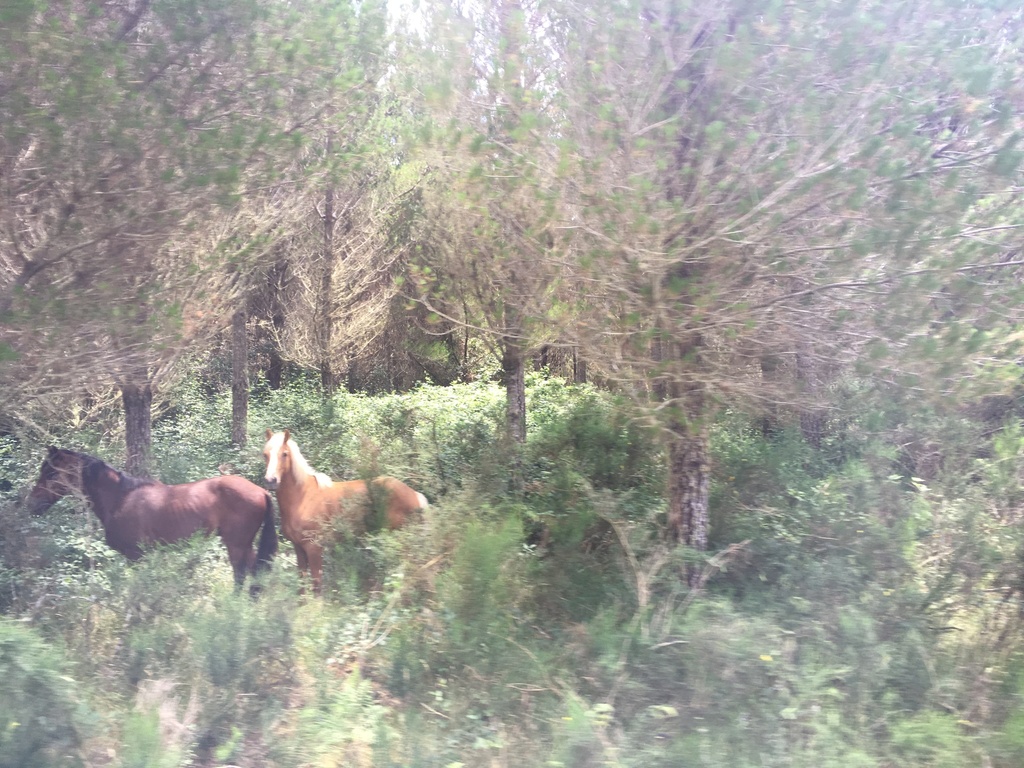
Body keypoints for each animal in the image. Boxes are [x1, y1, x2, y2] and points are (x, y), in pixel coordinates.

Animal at [28, 447, 278, 586]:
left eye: (51, 473)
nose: (31, 504)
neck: (120, 497)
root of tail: (261, 491)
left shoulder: (136, 556)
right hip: (244, 545)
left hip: (236, 544)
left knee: (241, 575)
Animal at [262, 429, 428, 594]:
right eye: (265, 454)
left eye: (284, 454)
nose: (271, 481)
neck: (303, 496)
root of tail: (414, 494)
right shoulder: (298, 547)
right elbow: (302, 585)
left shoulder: (314, 547)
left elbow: (317, 585)